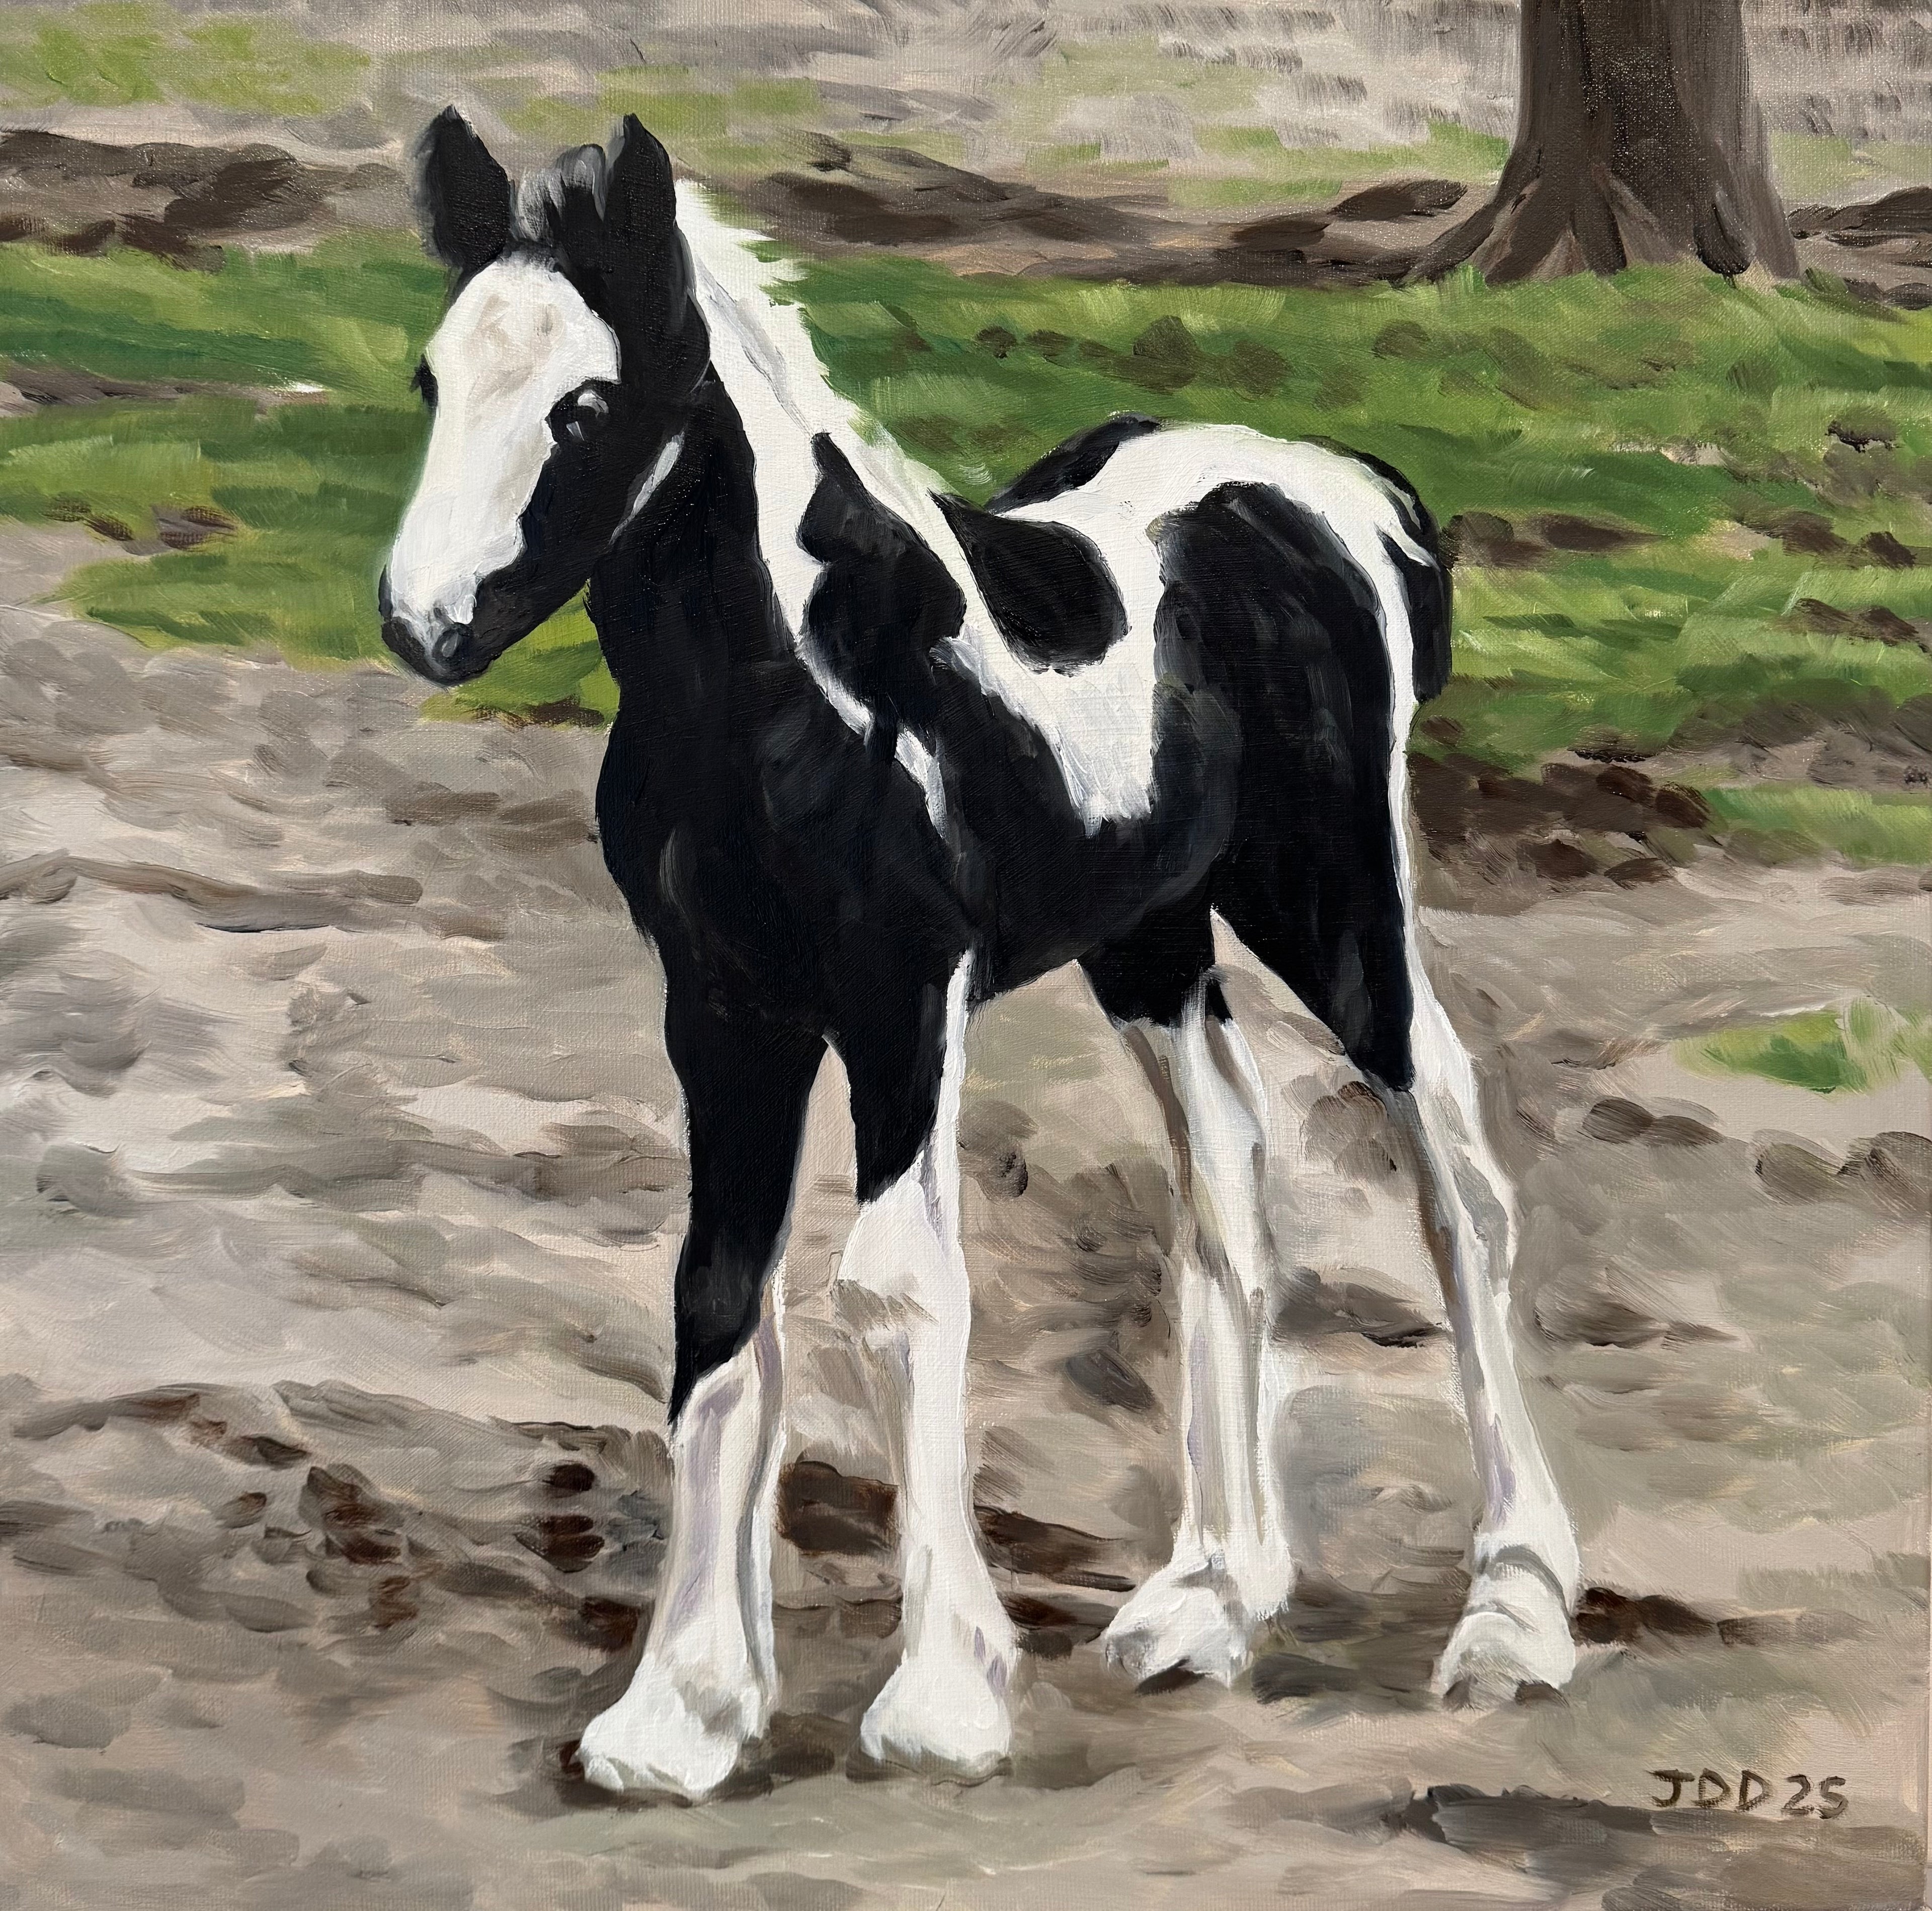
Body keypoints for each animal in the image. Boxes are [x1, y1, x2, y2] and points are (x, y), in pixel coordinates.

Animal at [378, 109, 1582, 1800]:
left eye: (588, 401)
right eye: (434, 380)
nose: (422, 626)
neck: (802, 687)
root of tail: (1352, 497)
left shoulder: (900, 1002)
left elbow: (896, 1288)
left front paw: (942, 1698)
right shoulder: (724, 1013)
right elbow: (714, 1301)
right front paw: (678, 1712)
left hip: (1334, 897)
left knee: (1456, 1168)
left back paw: (1516, 1610)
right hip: (1149, 933)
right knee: (1226, 1166)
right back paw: (1212, 1592)